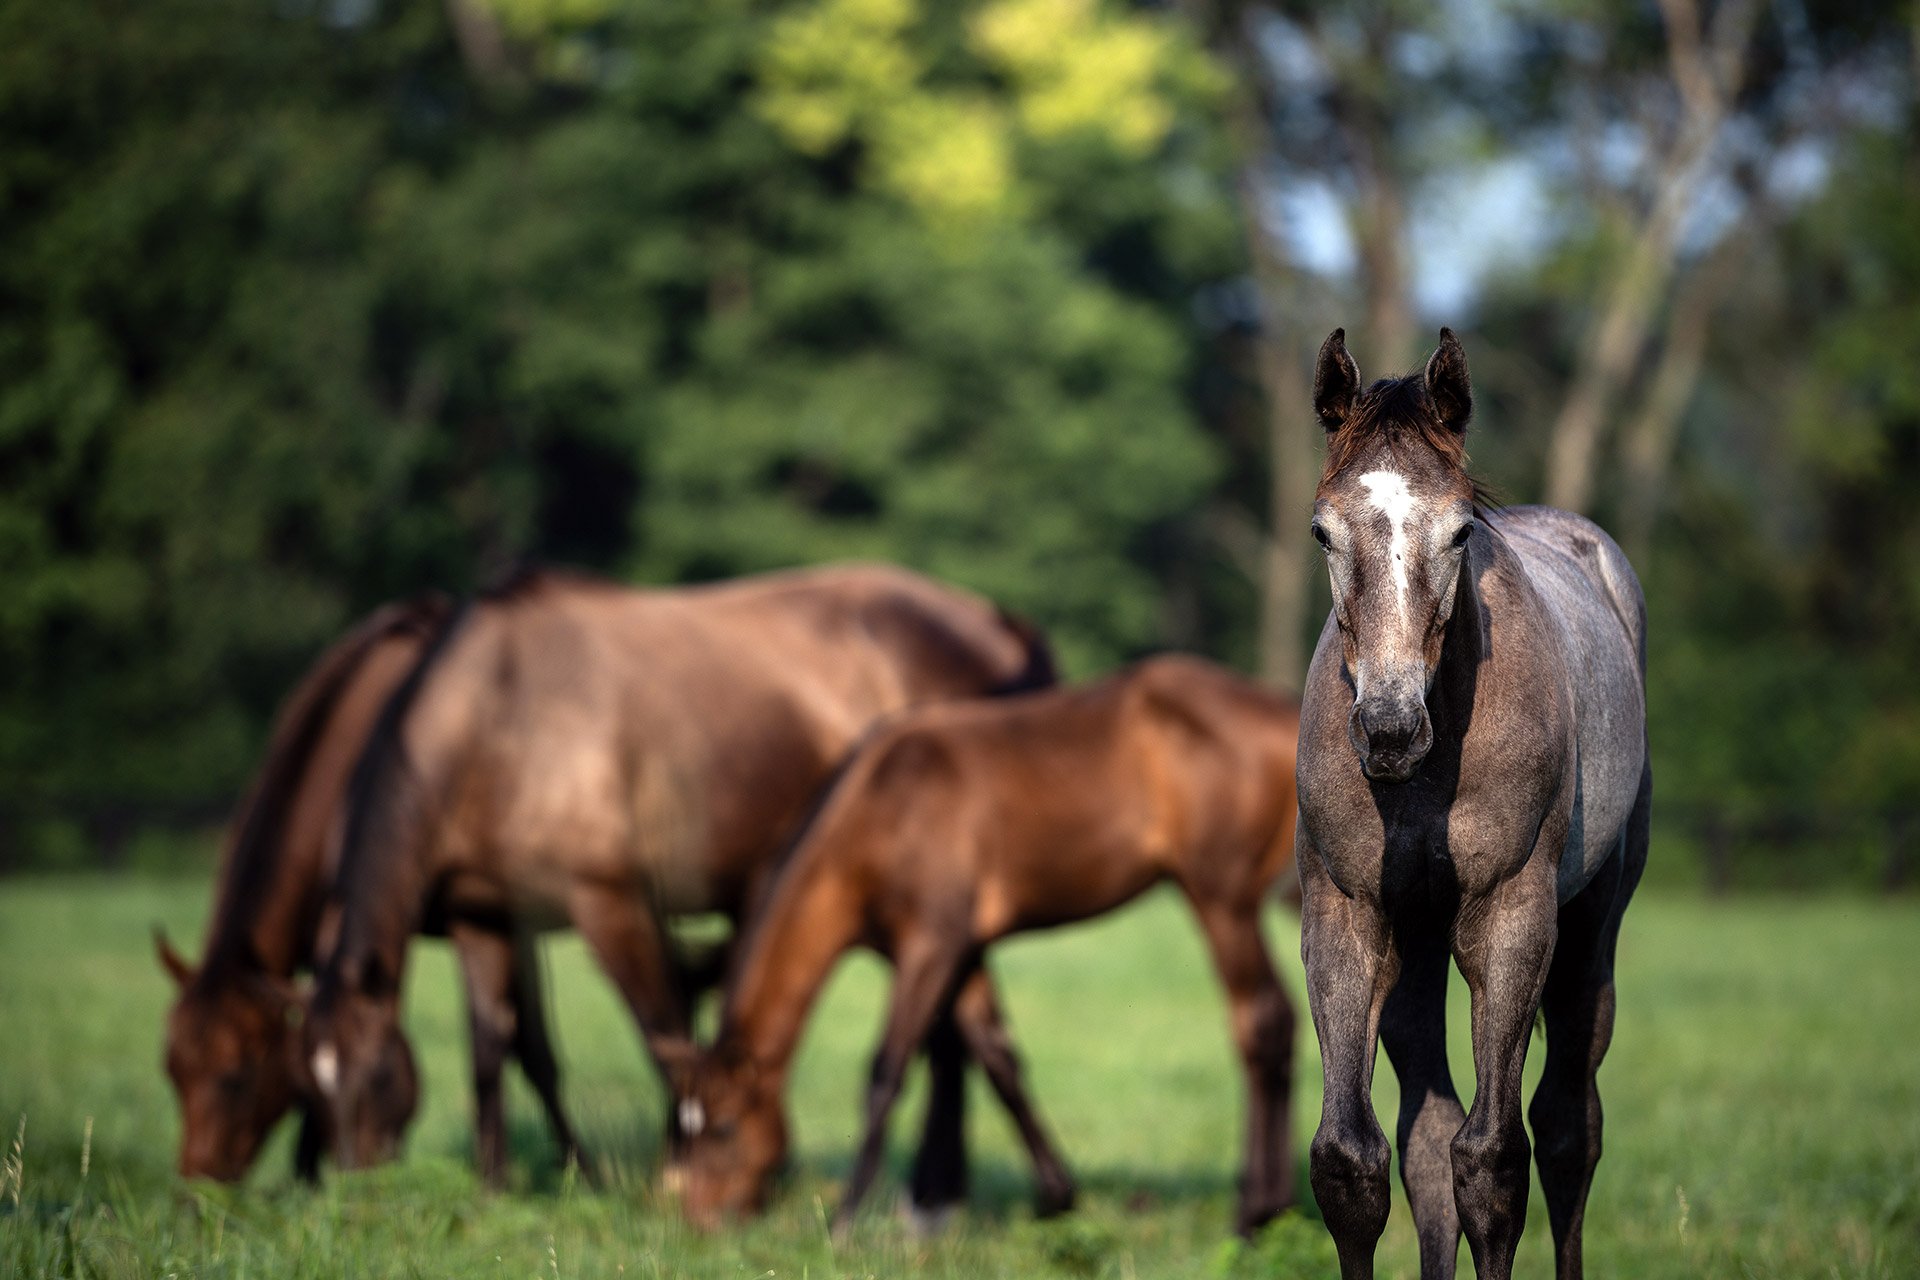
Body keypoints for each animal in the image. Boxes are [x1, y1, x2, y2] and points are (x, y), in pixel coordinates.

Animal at [299, 563, 1055, 1176]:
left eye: (375, 1076)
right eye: (312, 1084)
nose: (354, 1185)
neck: (498, 716)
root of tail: (996, 620)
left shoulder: (611, 901)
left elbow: (661, 1029)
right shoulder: (481, 915)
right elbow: (491, 1047)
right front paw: (493, 1186)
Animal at [666, 653, 1302, 1235]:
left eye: (724, 1127)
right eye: (688, 1127)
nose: (701, 1222)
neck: (881, 809)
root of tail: (1282, 712)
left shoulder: (929, 947)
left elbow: (886, 1071)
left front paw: (845, 1221)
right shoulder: (963, 952)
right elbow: (999, 1059)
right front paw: (1057, 1195)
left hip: (1220, 900)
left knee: (1261, 1019)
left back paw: (1254, 1213)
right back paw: (1274, 1205)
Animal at [1294, 328, 1649, 1280]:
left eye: (1458, 531)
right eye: (1323, 530)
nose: (1387, 729)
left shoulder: (1510, 917)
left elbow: (1493, 1162)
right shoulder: (1348, 915)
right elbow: (1353, 1161)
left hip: (1592, 927)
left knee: (1568, 1129)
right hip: (1416, 946)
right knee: (1426, 1142)